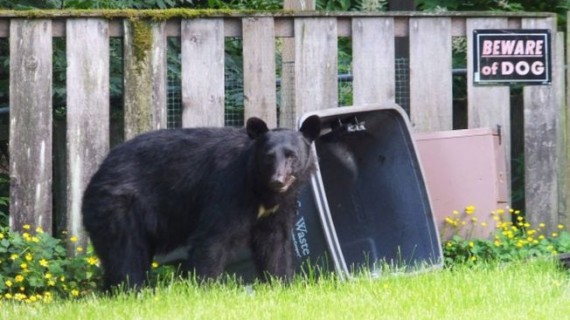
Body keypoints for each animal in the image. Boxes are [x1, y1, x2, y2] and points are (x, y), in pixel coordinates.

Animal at [81, 115, 320, 290]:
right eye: (269, 156)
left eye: (292, 156)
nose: (278, 180)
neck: (259, 187)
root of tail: (98, 172)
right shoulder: (227, 188)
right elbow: (213, 237)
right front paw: (204, 288)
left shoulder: (279, 207)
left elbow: (275, 242)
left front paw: (281, 284)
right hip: (118, 206)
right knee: (126, 252)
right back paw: (132, 289)